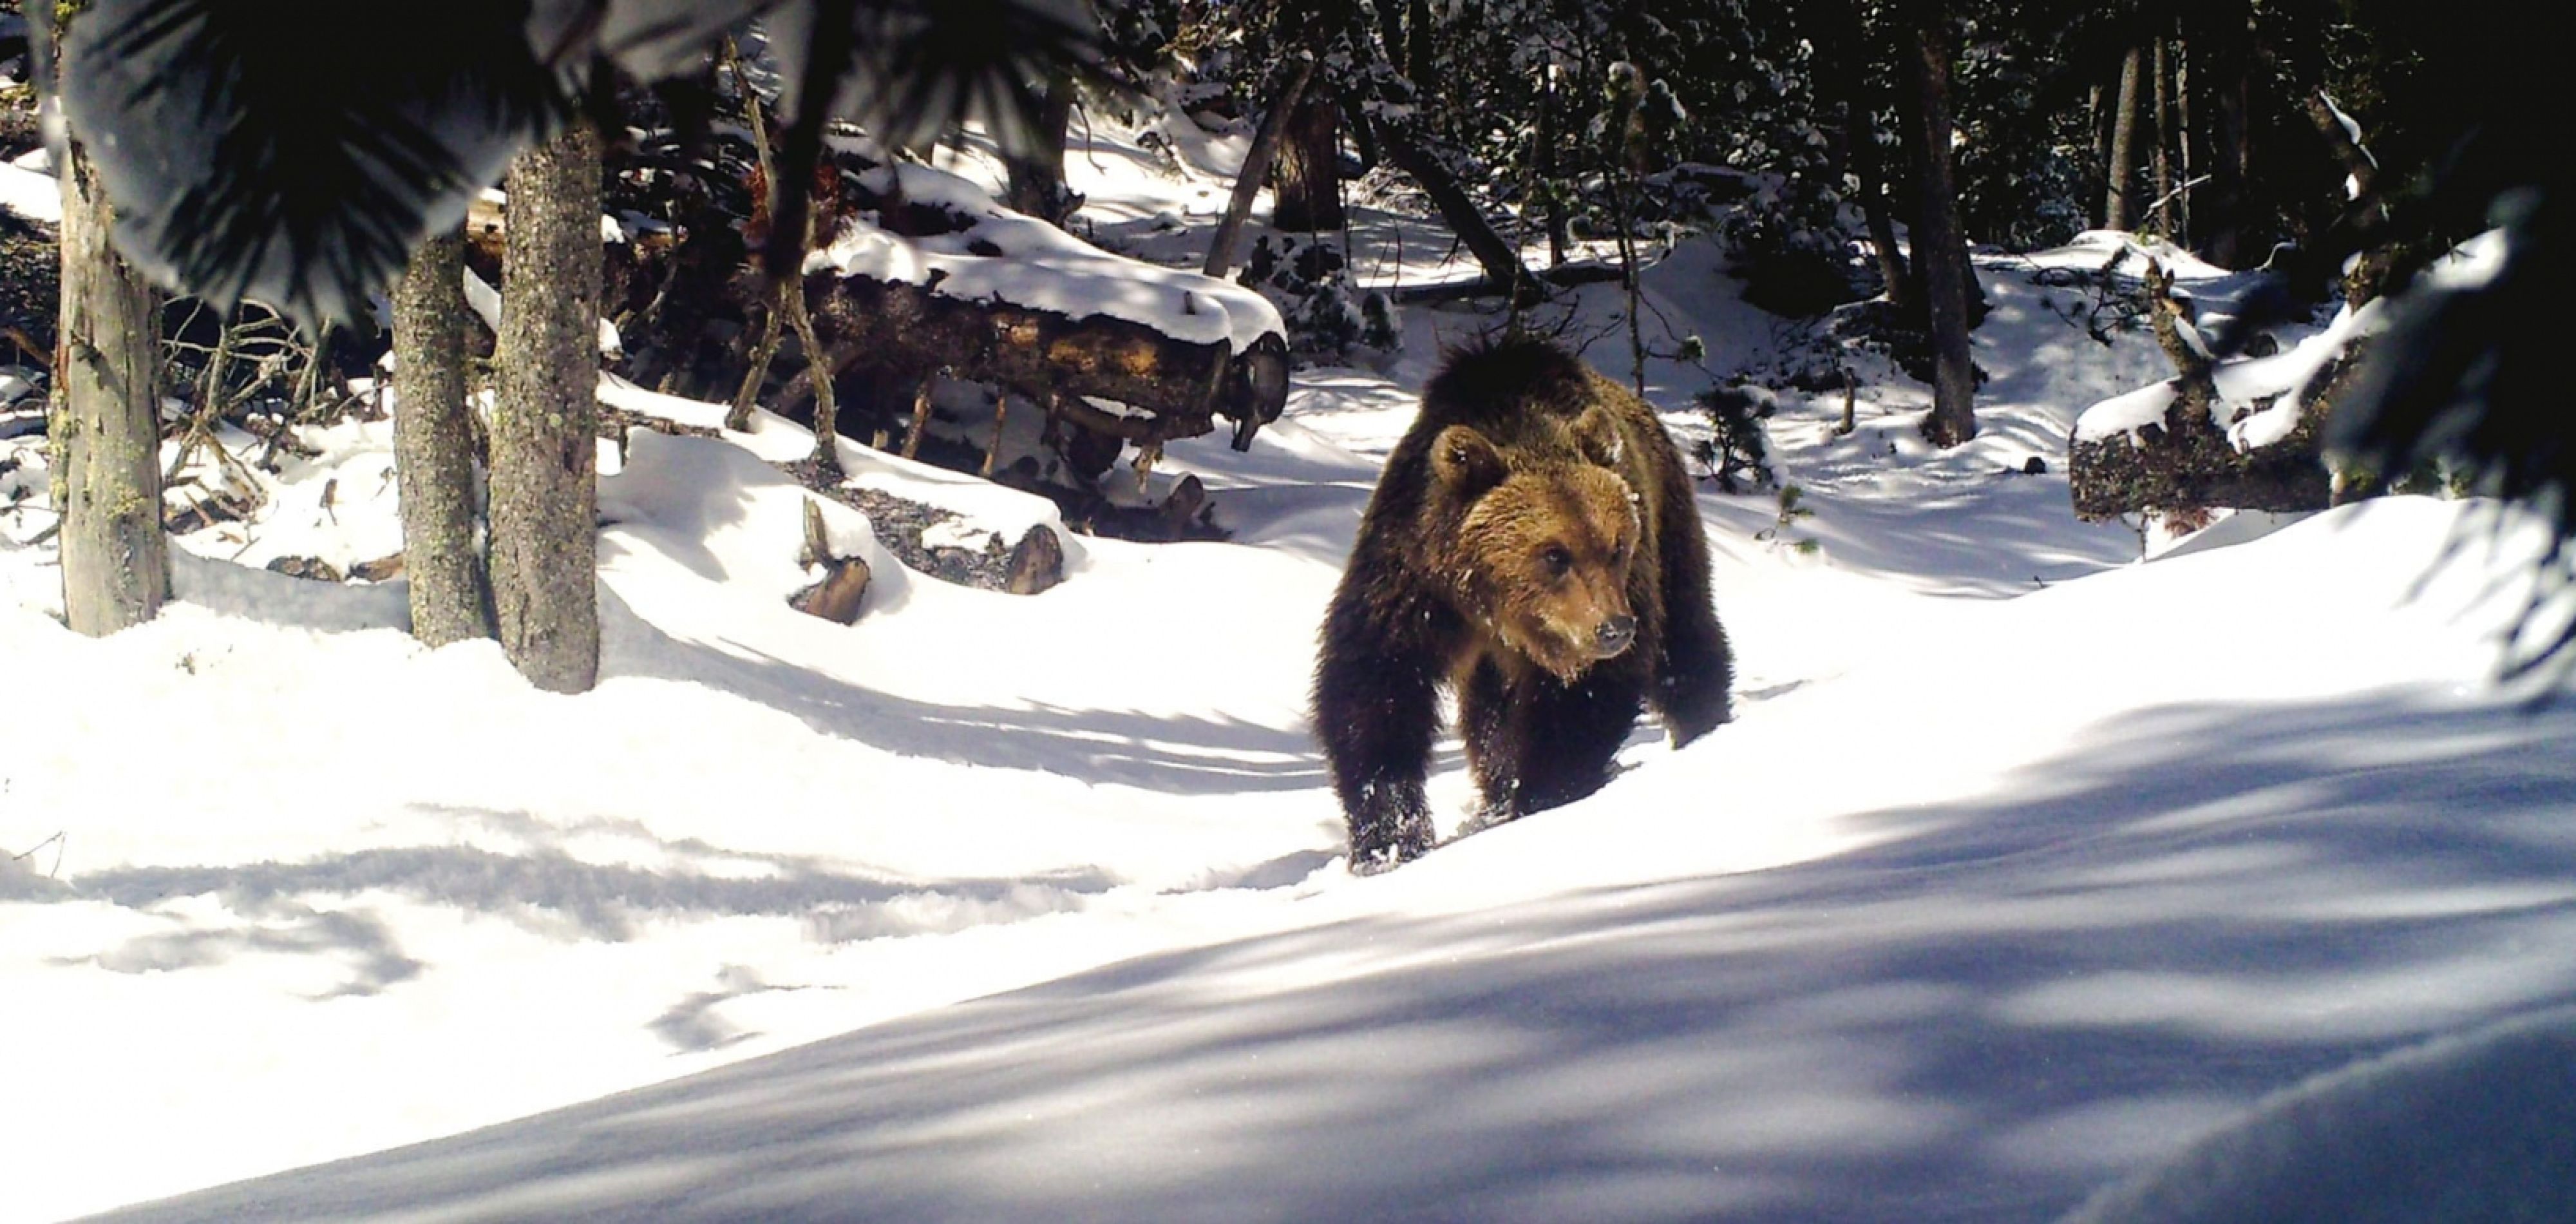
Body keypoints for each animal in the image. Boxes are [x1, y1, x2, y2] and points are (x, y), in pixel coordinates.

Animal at [1309, 335, 1731, 871]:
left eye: (1616, 546)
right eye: (1554, 554)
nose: (1614, 628)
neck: (1494, 603)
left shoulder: (1624, 585)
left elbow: (1583, 703)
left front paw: (1544, 795)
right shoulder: (1414, 578)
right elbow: (1375, 687)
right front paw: (1390, 838)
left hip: (1668, 521)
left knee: (1685, 636)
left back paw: (1706, 724)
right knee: (1490, 714)